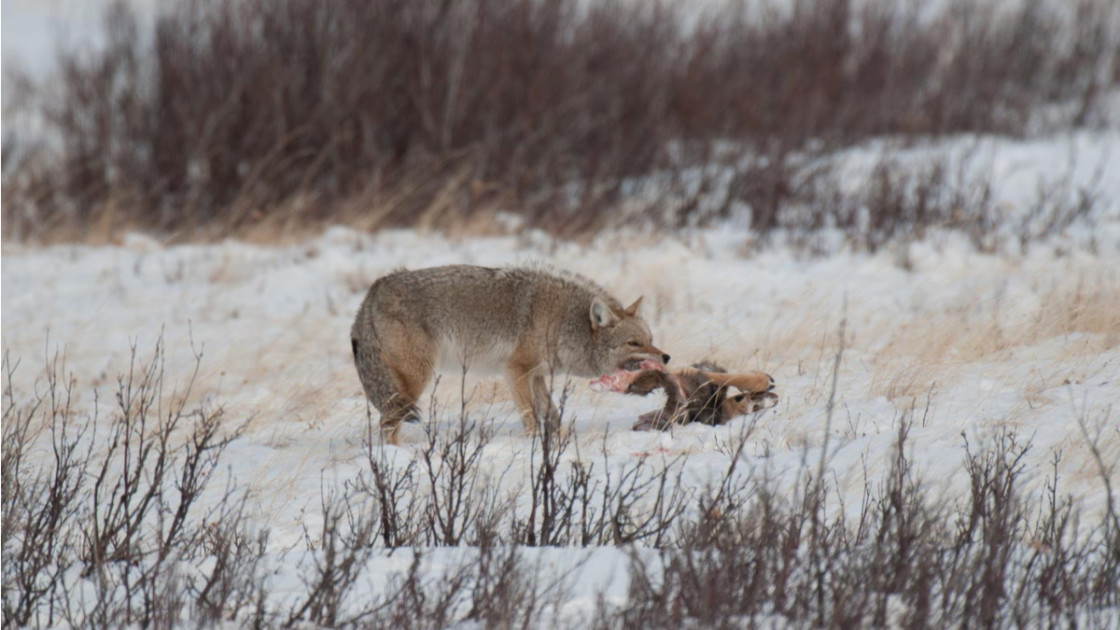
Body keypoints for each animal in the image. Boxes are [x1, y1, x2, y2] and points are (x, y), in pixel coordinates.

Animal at [349, 263, 663, 441]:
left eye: (650, 339)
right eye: (634, 343)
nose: (666, 357)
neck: (561, 321)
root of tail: (373, 290)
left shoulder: (537, 376)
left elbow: (551, 414)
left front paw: (558, 442)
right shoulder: (516, 371)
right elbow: (530, 416)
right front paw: (534, 445)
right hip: (416, 380)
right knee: (387, 422)